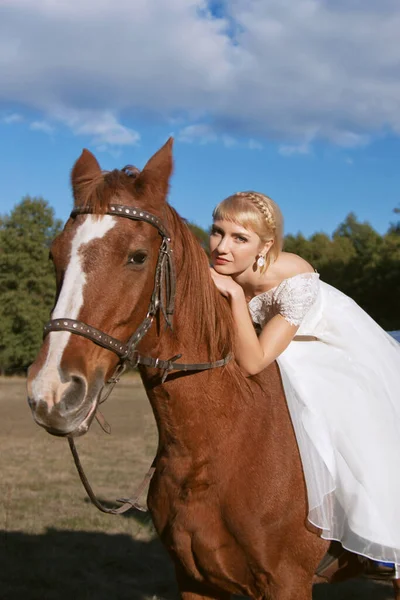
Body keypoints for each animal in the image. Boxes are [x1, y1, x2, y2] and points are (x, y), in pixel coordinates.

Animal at [25, 142, 390, 600]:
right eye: (54, 254)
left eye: (137, 257)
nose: (52, 393)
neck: (217, 445)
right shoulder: (194, 580)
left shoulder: (288, 581)